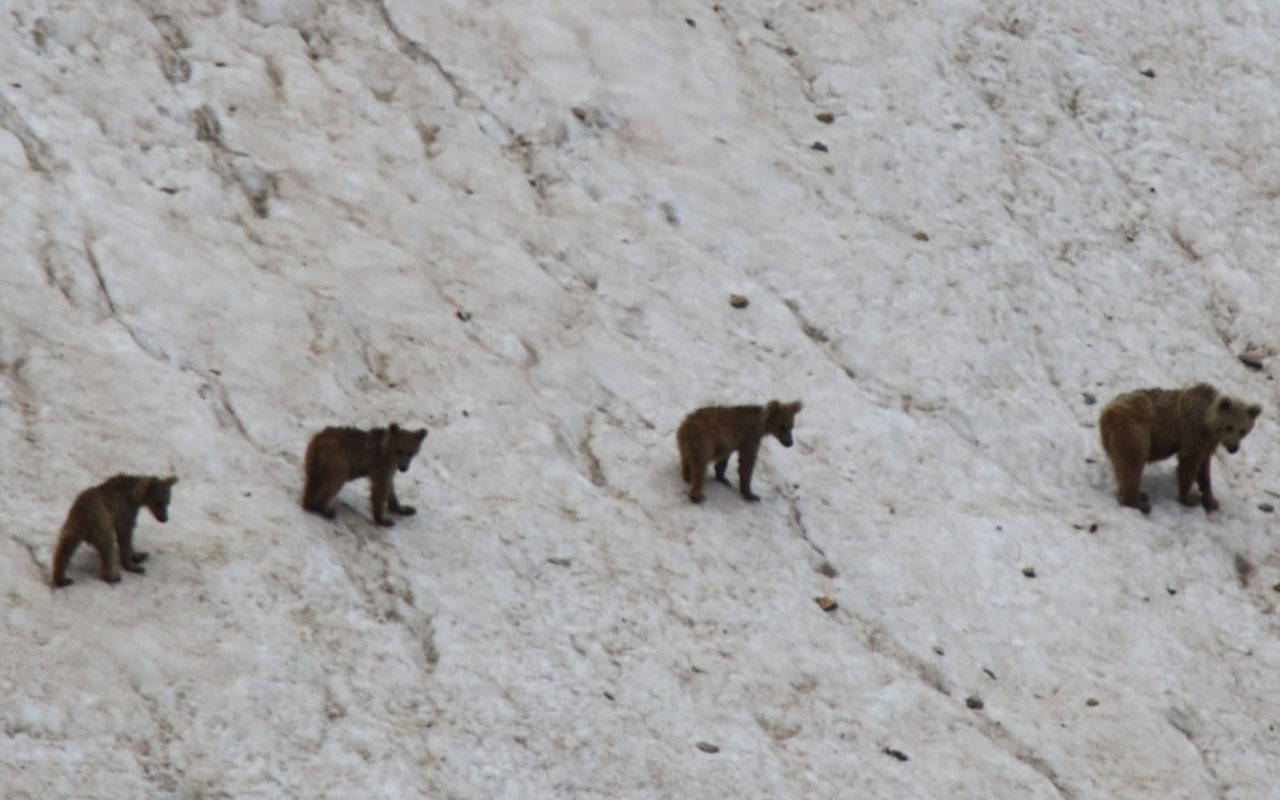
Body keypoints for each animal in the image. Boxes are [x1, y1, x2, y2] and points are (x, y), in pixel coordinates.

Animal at [675, 396, 803, 501]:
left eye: (791, 426)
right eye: (782, 426)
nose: (789, 443)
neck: (762, 426)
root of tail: (685, 425)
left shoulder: (730, 441)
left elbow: (724, 459)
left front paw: (723, 477)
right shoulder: (749, 437)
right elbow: (747, 463)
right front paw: (751, 494)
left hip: (687, 444)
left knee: (687, 460)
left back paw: (687, 475)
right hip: (703, 442)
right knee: (700, 467)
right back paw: (697, 495)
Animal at [1095, 381, 1264, 512]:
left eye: (1243, 430)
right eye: (1230, 427)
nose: (1233, 447)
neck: (1207, 422)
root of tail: (1107, 413)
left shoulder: (1208, 442)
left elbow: (1204, 468)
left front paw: (1211, 500)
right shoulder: (1194, 432)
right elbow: (1189, 462)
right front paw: (1189, 497)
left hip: (1114, 441)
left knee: (1121, 466)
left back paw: (1136, 494)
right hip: (1135, 431)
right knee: (1133, 463)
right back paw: (1139, 502)